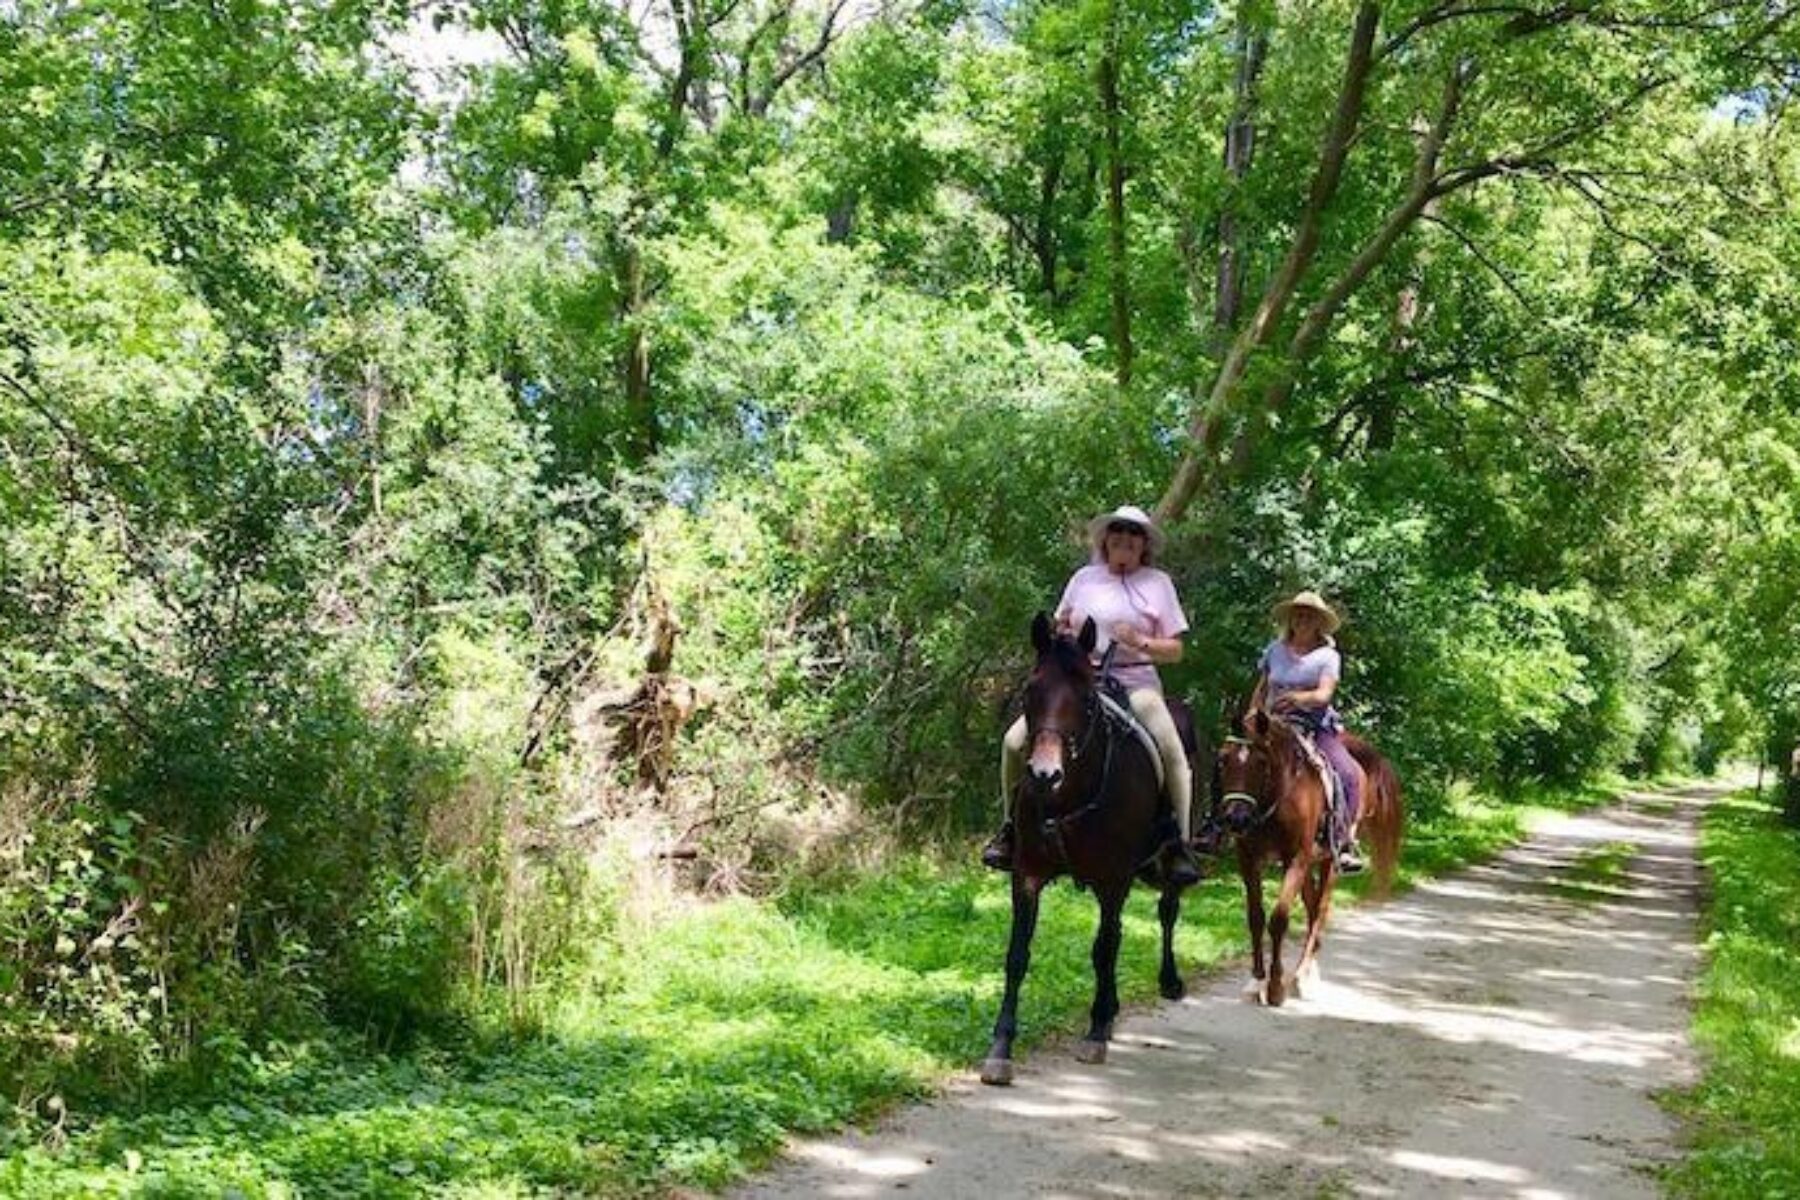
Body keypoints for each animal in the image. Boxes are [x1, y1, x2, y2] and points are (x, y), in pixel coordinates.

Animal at [979, 615, 1188, 1086]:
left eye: (1087, 699)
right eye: (1029, 691)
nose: (1044, 774)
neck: (1069, 797)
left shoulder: (1113, 879)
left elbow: (1103, 950)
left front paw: (1094, 1033)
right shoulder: (1028, 873)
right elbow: (1017, 955)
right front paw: (1000, 1049)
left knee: (1166, 912)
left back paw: (1166, 983)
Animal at [1216, 708, 1396, 1007]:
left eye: (1261, 763)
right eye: (1223, 759)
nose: (1236, 819)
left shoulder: (1296, 860)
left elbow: (1279, 920)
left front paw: (1275, 987)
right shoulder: (1249, 860)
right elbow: (1255, 918)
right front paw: (1256, 982)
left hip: (1327, 862)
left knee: (1320, 911)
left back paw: (1301, 976)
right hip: (1309, 867)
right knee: (1312, 910)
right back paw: (1307, 972)